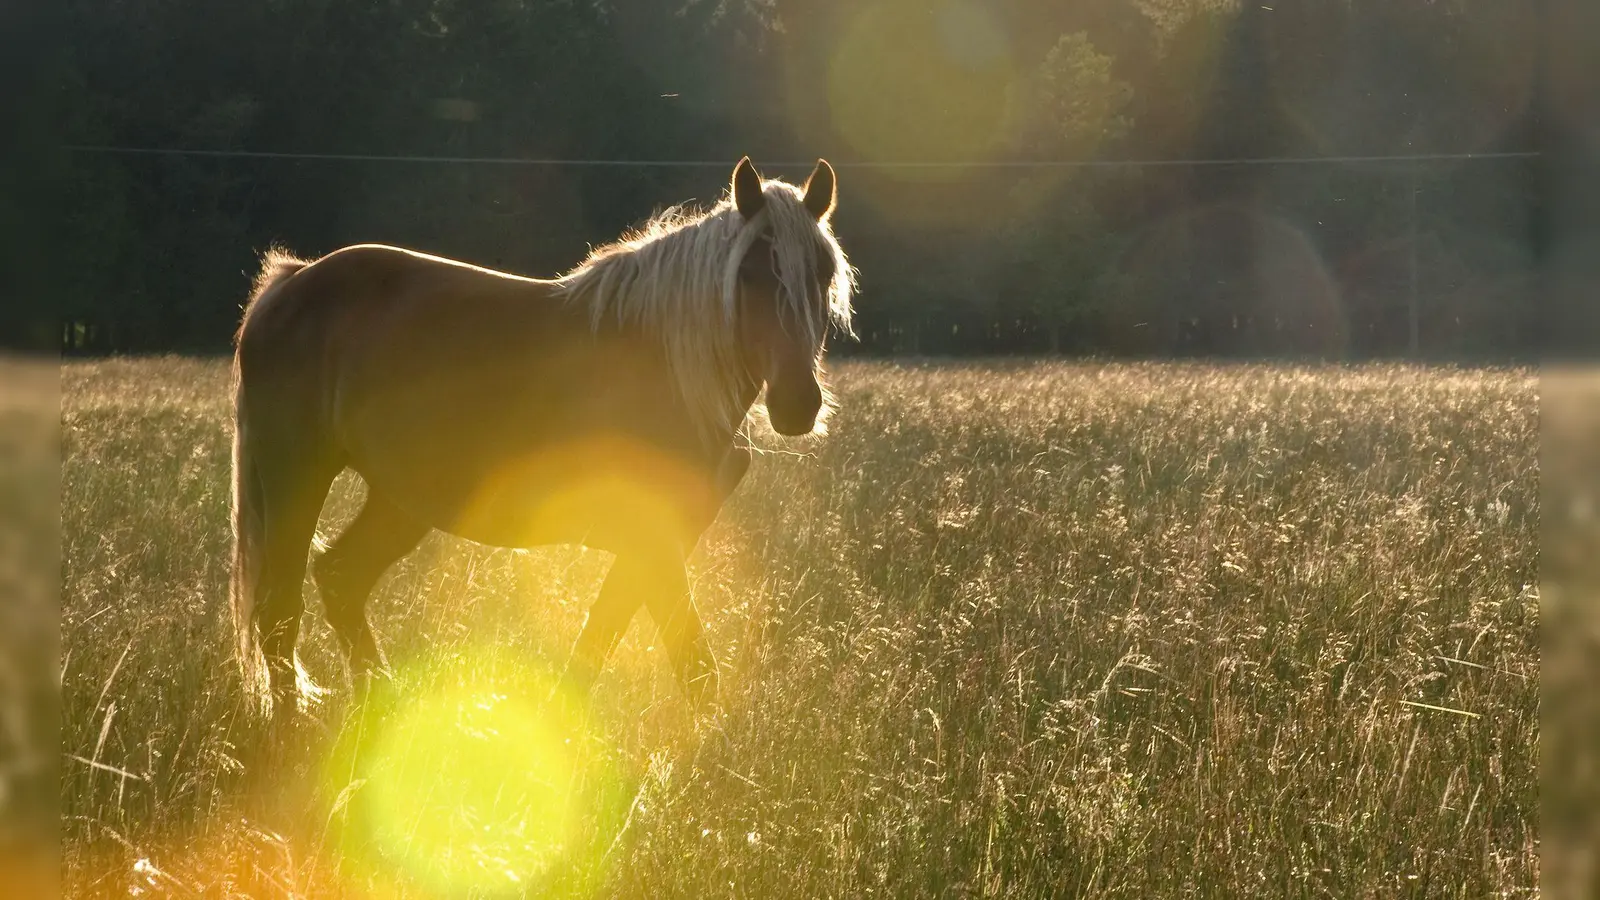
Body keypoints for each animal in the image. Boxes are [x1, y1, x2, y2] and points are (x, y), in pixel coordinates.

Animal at [232, 157, 857, 717]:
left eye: (823, 274)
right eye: (749, 273)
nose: (798, 405)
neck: (669, 369)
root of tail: (292, 282)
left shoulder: (655, 544)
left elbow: (601, 645)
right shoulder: (652, 540)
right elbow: (689, 664)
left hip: (401, 500)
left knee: (340, 580)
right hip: (298, 477)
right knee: (280, 612)